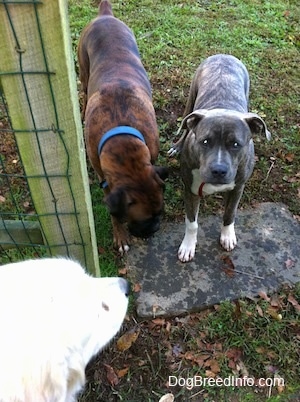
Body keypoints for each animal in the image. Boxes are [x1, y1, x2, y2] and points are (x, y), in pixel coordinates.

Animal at [77, 0, 168, 253]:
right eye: (142, 220)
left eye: (160, 212)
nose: (155, 228)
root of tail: (105, 16)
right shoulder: (106, 181)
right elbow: (114, 214)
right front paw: (120, 235)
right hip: (83, 72)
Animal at [169, 55, 272, 262]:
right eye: (205, 141)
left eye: (236, 144)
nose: (218, 170)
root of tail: (224, 55)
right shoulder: (190, 190)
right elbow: (192, 223)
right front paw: (188, 246)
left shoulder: (238, 188)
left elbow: (229, 214)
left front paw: (227, 236)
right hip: (191, 101)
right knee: (185, 127)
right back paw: (177, 145)